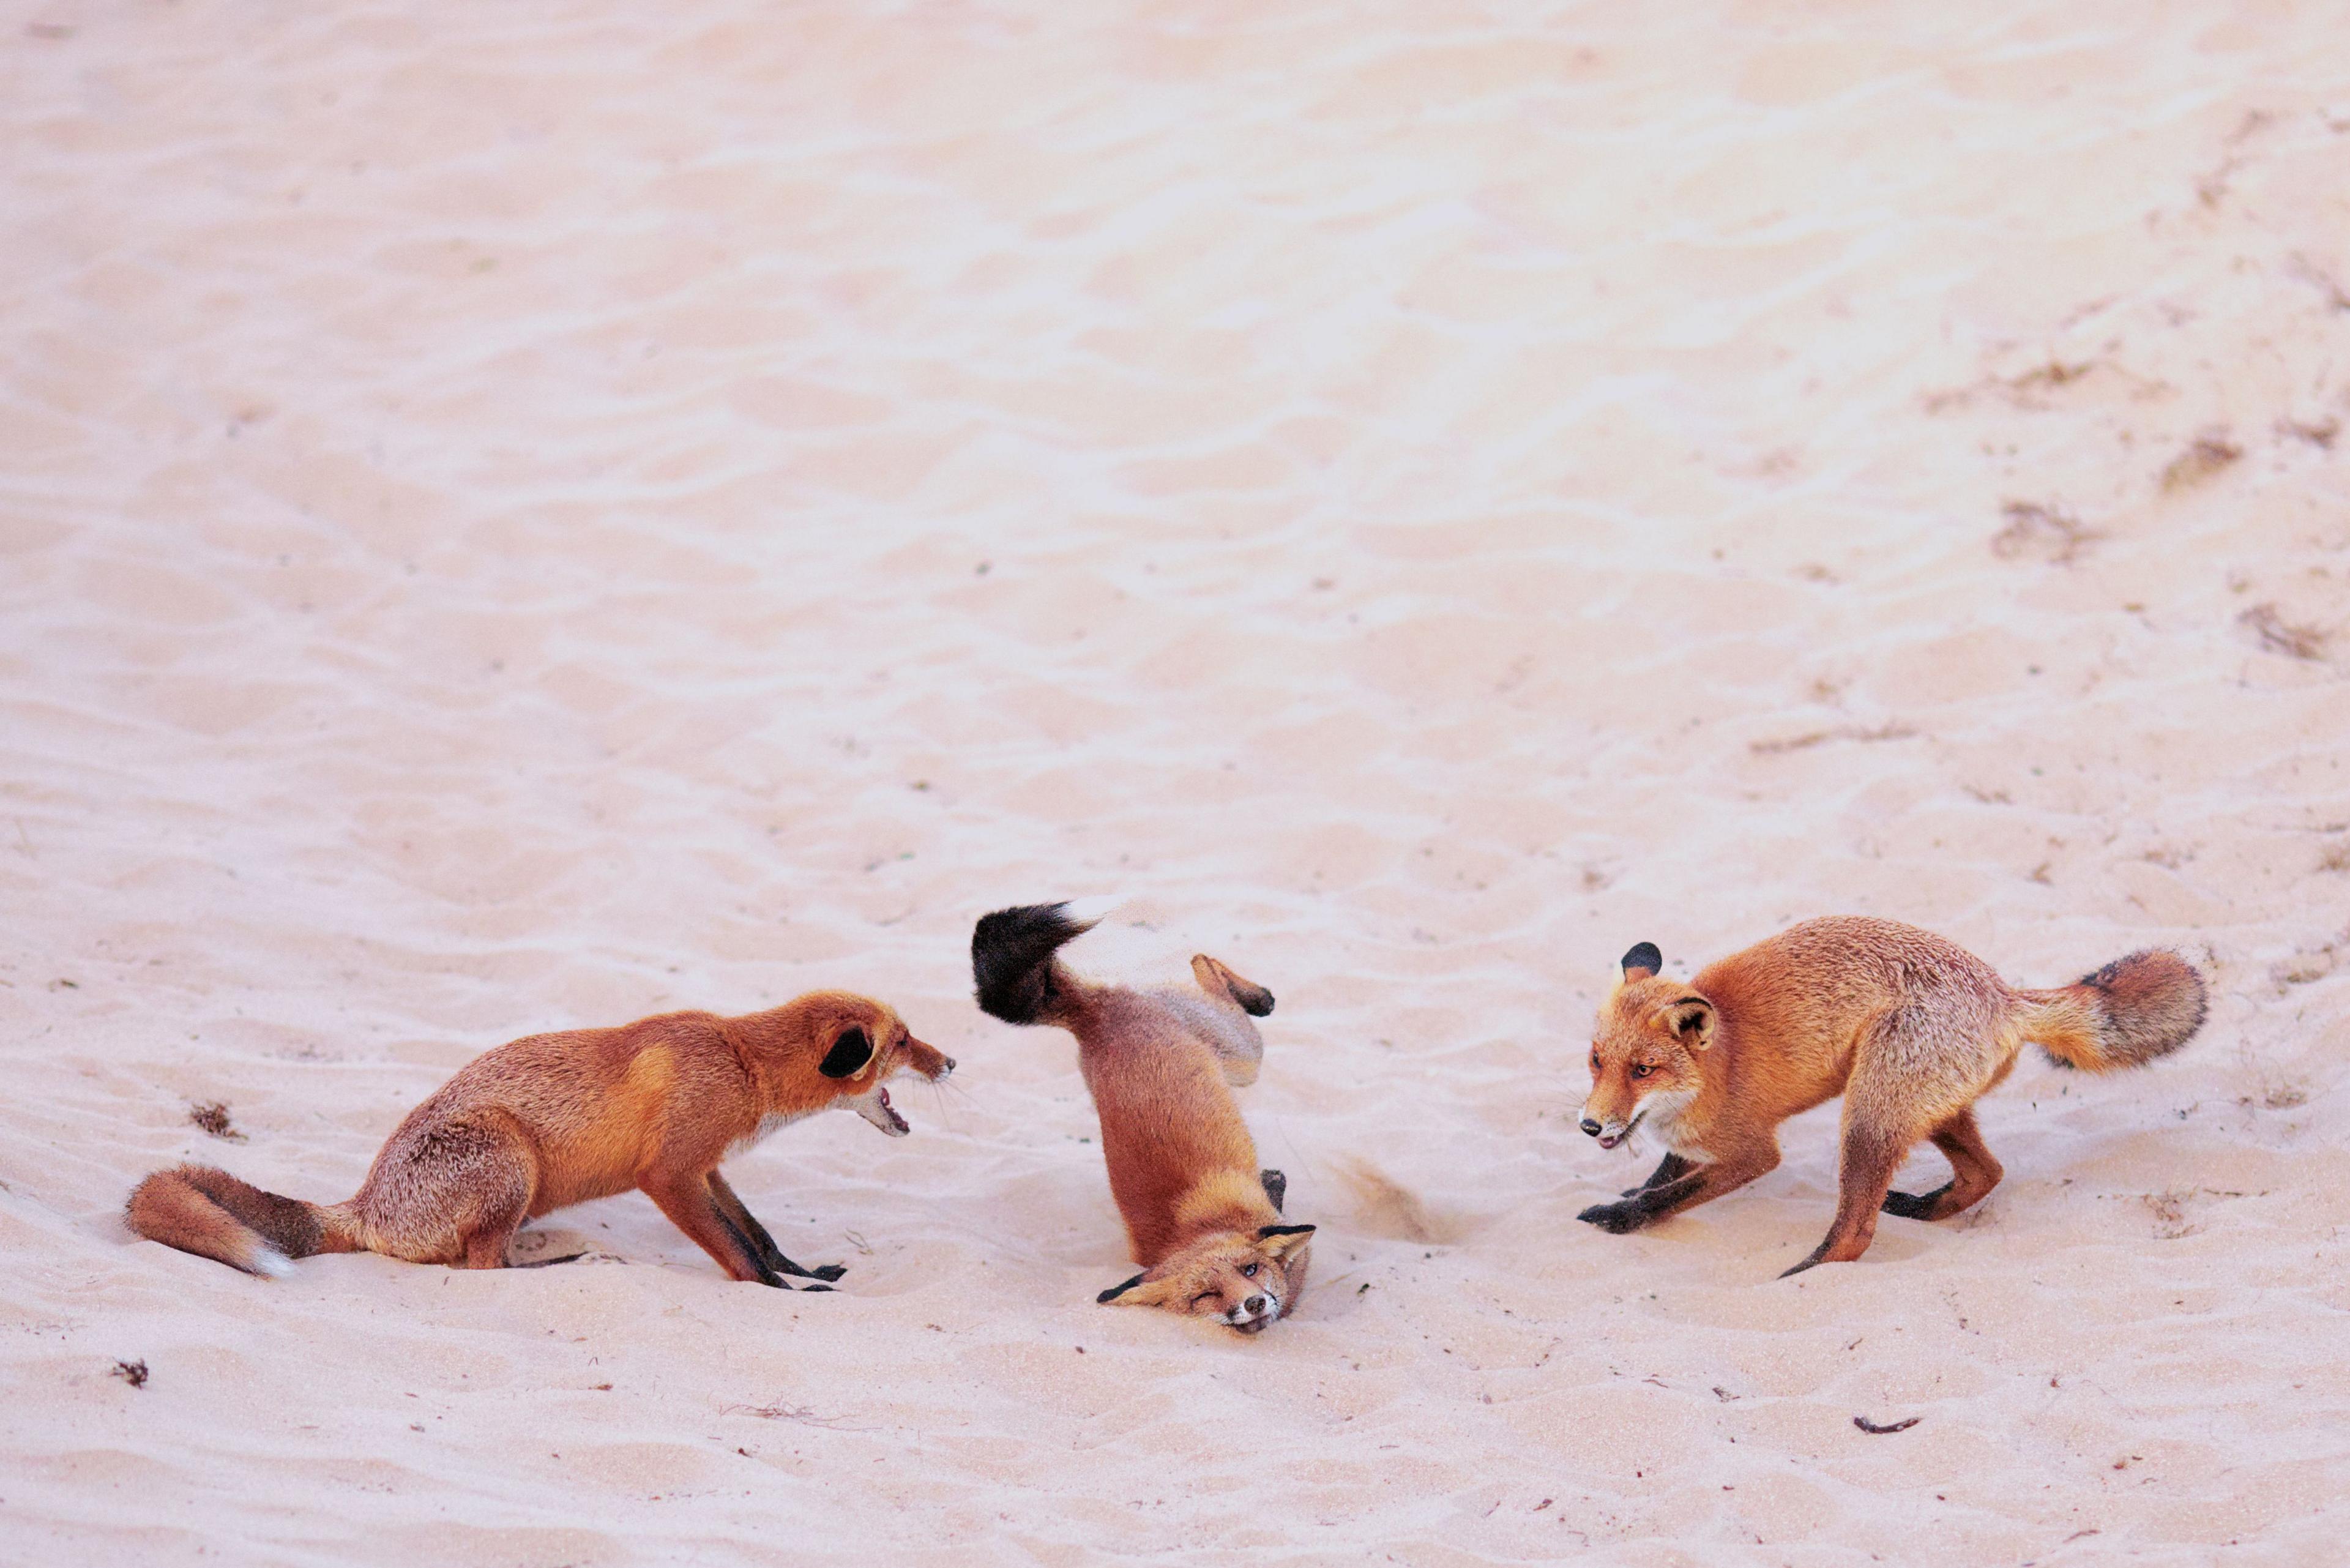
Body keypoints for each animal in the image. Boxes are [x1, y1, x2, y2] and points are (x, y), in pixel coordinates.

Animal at [126, 990, 953, 1288]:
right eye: (903, 1042)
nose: (951, 1064)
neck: (739, 1060)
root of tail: (365, 1206)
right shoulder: (669, 1174)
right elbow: (739, 1256)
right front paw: (780, 1295)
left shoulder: (708, 1167)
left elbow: (758, 1233)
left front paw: (804, 1273)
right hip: (508, 1155)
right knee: (481, 1268)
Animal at [970, 901, 1313, 1334]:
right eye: (1207, 1295)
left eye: (1250, 1270)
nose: (1253, 1303)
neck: (1200, 1227)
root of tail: (1094, 1014)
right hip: (1235, 1056)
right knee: (1202, 966)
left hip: (1243, 1053)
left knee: (1206, 967)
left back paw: (1259, 996)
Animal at [1574, 917, 2206, 1276]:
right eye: (1597, 1060)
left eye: (1643, 1069)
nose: (1589, 1126)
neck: (1716, 1063)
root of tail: (2005, 995)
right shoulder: (1696, 1140)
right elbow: (1665, 1174)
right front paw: (1634, 1189)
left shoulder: (1753, 1152)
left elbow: (1670, 1195)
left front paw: (1620, 1216)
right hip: (1926, 1107)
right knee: (1987, 1173)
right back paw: (1921, 1207)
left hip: (1868, 1115)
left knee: (1856, 1232)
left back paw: (1804, 1275)